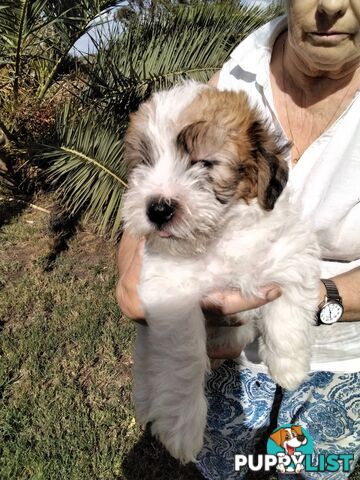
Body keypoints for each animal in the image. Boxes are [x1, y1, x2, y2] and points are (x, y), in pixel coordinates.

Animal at [122, 82, 320, 464]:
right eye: (146, 162)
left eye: (204, 162)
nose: (157, 209)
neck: (219, 236)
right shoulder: (171, 294)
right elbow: (183, 357)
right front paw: (182, 427)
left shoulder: (290, 251)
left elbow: (288, 311)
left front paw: (288, 366)